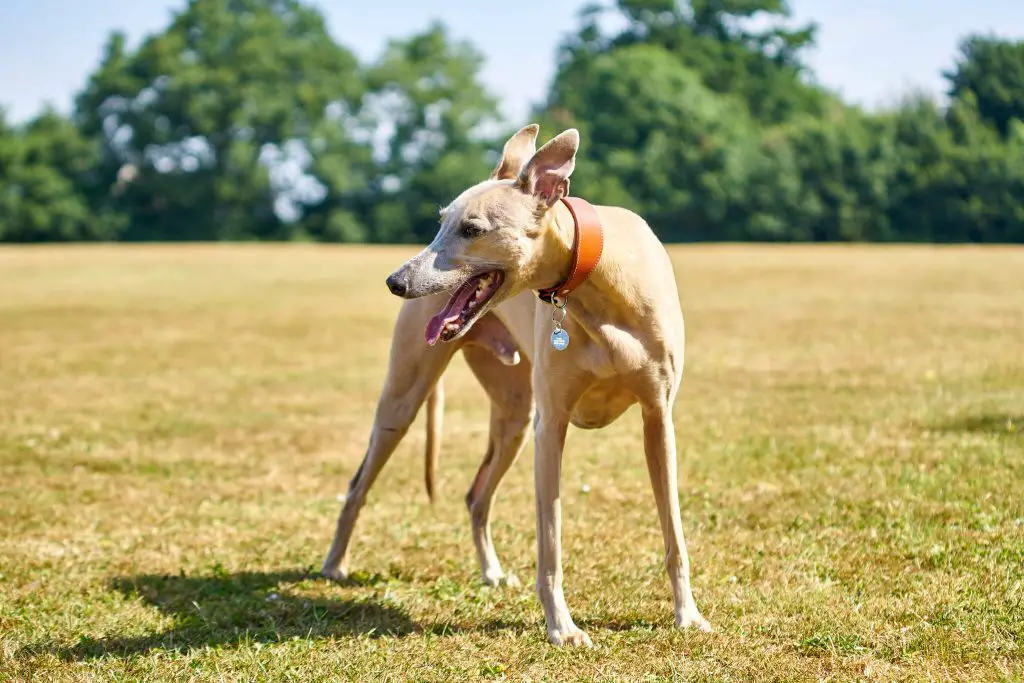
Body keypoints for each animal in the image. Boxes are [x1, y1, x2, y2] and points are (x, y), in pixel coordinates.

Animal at [321, 124, 712, 647]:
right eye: (440, 223)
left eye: (471, 229)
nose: (395, 282)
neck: (597, 281)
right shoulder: (552, 427)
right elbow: (550, 546)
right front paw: (563, 627)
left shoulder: (658, 418)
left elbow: (675, 534)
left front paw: (688, 615)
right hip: (404, 401)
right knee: (358, 484)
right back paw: (334, 564)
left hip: (514, 416)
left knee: (476, 495)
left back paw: (490, 571)